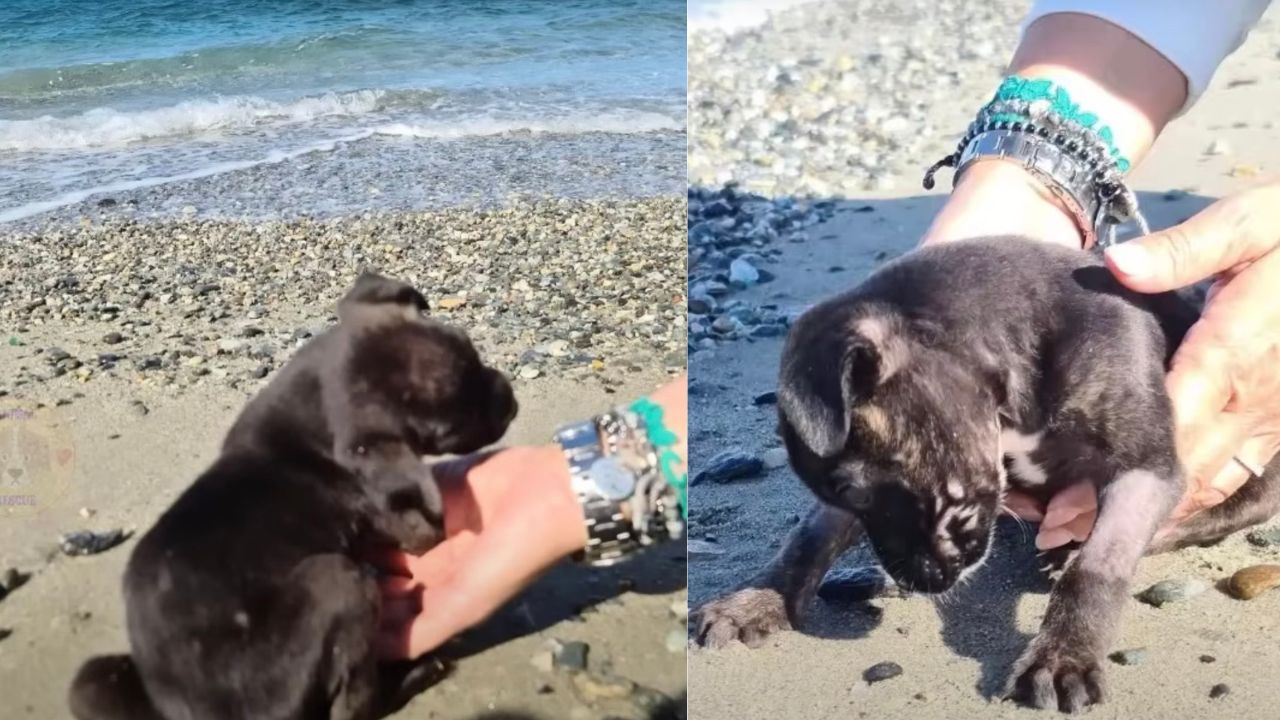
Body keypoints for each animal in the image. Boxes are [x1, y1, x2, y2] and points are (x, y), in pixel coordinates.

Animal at [68, 270, 514, 717]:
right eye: (449, 429)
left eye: (470, 346)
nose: (511, 403)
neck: (309, 419)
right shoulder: (400, 520)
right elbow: (421, 522)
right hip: (338, 583)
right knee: (355, 705)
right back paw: (418, 671)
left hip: (92, 680)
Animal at [696, 238, 1274, 707]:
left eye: (856, 490)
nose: (918, 583)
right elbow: (808, 538)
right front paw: (757, 601)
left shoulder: (1146, 468)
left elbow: (1099, 565)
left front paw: (1063, 655)